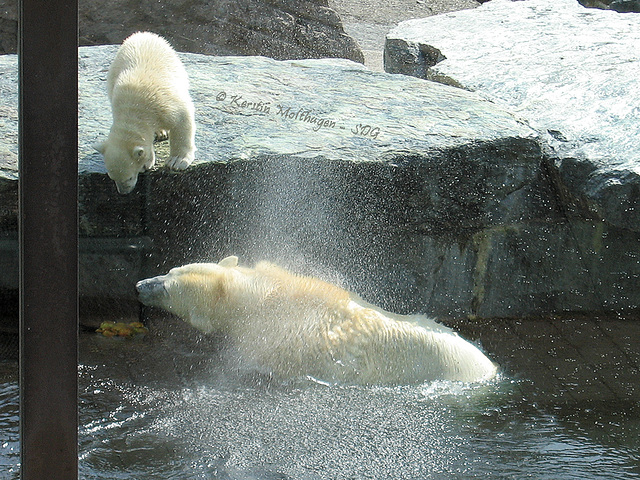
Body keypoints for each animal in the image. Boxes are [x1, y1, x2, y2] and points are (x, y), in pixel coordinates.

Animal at [94, 31, 195, 195]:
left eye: (129, 177)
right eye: (111, 177)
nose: (123, 192)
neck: (135, 107)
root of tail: (143, 34)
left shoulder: (164, 104)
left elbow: (182, 119)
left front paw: (177, 161)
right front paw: (148, 161)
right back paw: (160, 132)